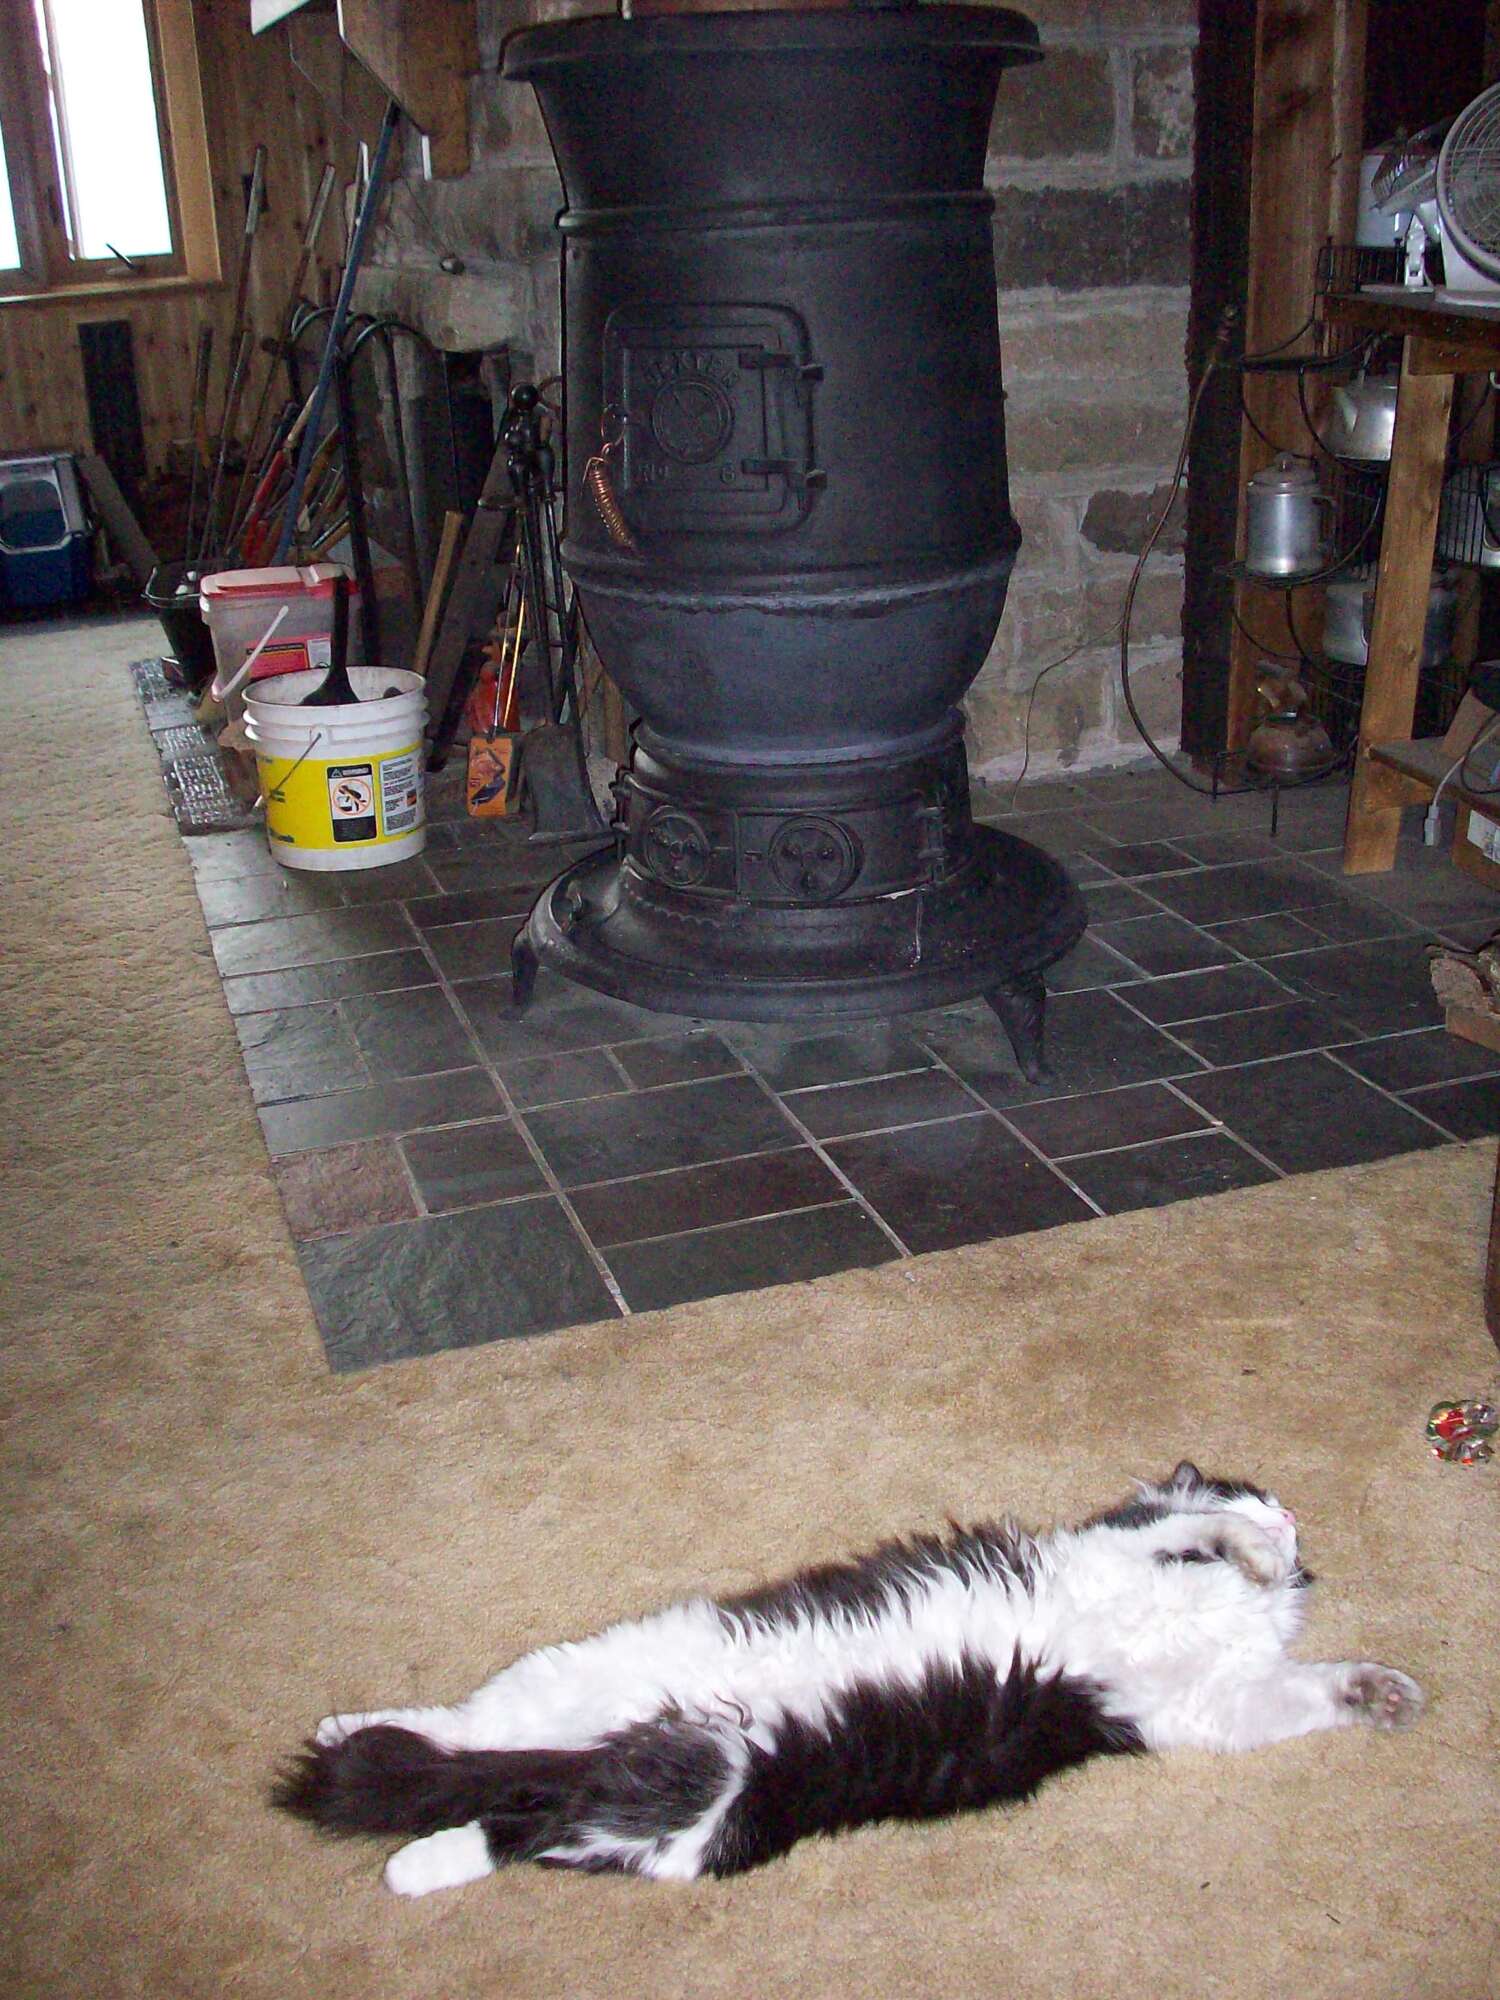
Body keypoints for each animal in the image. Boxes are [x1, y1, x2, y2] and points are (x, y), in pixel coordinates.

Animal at [273, 1462, 1423, 1896]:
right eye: (1254, 1489)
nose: (1290, 1515)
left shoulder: (1208, 1704)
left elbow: (1312, 1687)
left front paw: (1380, 1690)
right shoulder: (1124, 1554)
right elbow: (1197, 1534)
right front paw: (1255, 1555)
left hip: (685, 1807)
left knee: (507, 1810)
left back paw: (404, 1841)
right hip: (609, 1718)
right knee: (459, 1742)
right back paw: (352, 1750)